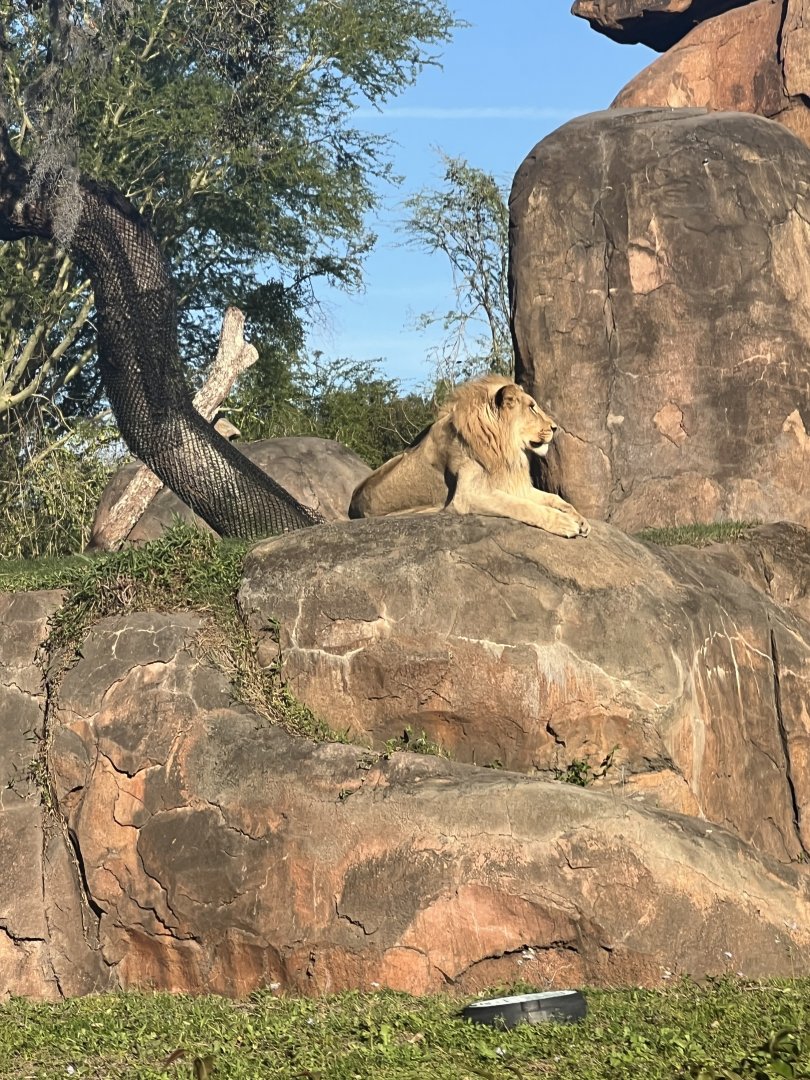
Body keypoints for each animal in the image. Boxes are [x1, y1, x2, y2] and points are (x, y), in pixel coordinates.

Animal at [348, 374, 590, 538]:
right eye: (531, 407)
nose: (555, 427)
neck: (502, 448)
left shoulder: (512, 485)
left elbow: (554, 498)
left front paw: (581, 520)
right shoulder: (468, 496)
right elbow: (522, 506)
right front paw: (565, 523)